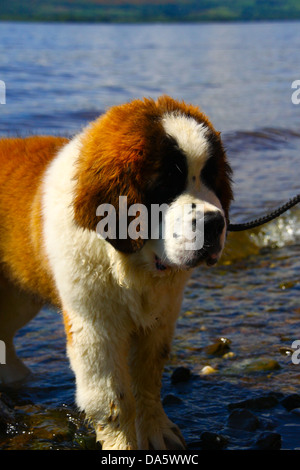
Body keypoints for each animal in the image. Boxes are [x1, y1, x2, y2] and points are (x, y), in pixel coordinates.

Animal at [0, 94, 232, 448]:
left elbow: (148, 380)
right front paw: (122, 444)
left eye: (210, 177)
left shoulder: (160, 319)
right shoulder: (95, 329)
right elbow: (113, 400)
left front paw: (155, 430)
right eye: (166, 183)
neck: (132, 262)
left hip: (19, 299)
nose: (214, 223)